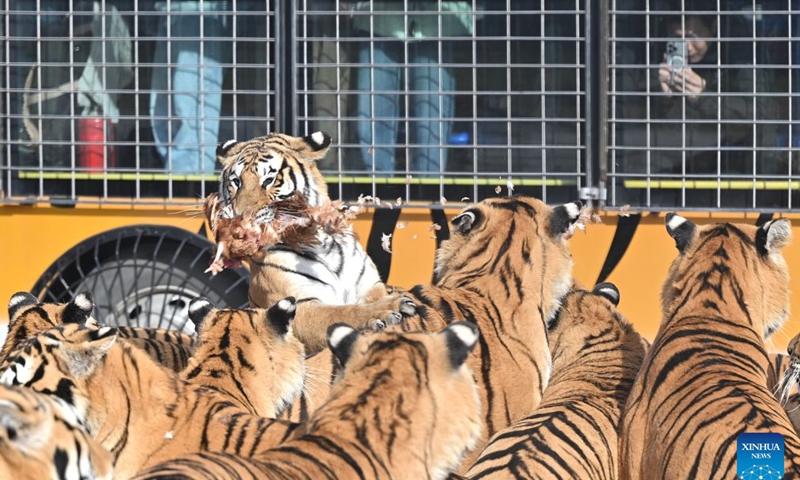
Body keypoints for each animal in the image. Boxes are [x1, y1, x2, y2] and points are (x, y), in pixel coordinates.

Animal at [205, 131, 416, 355]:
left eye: (269, 180)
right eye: (236, 182)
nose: (240, 217)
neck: (322, 243)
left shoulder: (370, 287)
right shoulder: (299, 307)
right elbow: (343, 312)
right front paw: (388, 308)